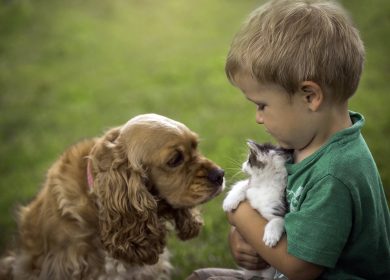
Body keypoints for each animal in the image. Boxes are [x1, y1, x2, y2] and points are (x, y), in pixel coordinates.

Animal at [222, 142, 290, 280]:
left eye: (249, 160)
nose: (243, 165)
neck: (264, 184)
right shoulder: (251, 188)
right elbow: (243, 185)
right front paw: (229, 201)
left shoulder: (278, 207)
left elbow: (278, 220)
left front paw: (271, 236)